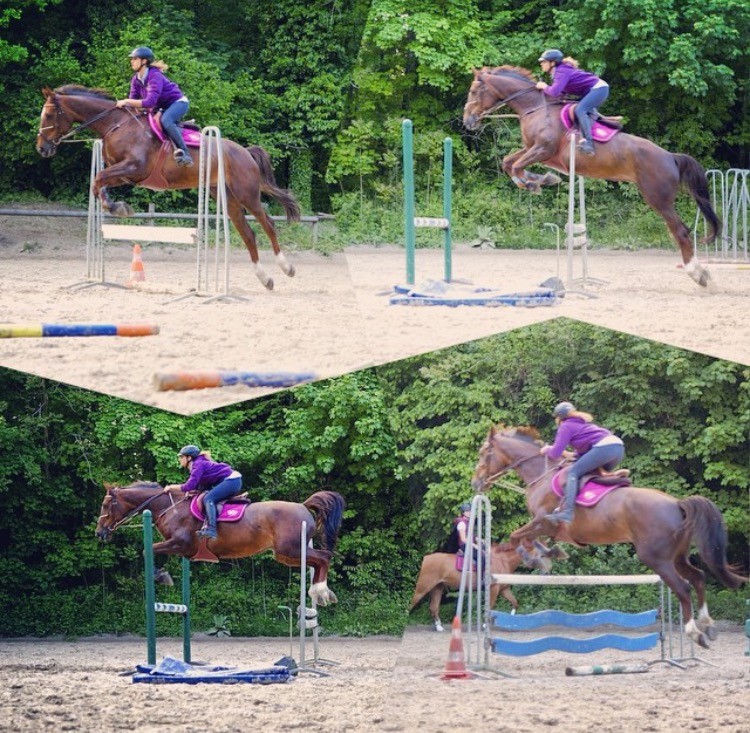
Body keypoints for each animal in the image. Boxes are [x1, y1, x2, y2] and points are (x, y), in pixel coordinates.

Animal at [37, 85, 300, 290]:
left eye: (48, 115)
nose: (41, 148)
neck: (116, 124)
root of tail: (245, 151)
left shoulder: (134, 168)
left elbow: (99, 179)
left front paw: (117, 207)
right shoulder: (126, 174)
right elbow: (99, 183)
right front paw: (117, 206)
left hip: (247, 194)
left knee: (268, 223)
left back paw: (286, 267)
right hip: (227, 198)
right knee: (248, 233)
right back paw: (264, 278)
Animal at [95, 481, 345, 605]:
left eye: (106, 505)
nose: (99, 533)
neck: (169, 507)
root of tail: (303, 506)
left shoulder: (181, 544)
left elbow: (149, 550)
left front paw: (162, 576)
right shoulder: (181, 548)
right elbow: (153, 551)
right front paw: (163, 575)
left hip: (290, 550)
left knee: (324, 557)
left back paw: (321, 592)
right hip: (287, 555)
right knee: (318, 561)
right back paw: (321, 592)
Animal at [408, 541, 568, 631]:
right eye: (541, 556)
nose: (547, 572)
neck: (502, 560)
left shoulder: (504, 589)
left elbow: (515, 602)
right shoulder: (493, 589)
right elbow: (490, 606)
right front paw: (486, 625)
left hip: (437, 588)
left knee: (433, 607)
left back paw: (439, 627)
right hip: (422, 588)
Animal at [463, 66, 721, 288]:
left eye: (474, 91)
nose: (467, 122)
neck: (535, 108)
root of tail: (670, 157)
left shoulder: (543, 149)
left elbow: (516, 166)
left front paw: (533, 183)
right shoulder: (534, 150)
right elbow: (509, 163)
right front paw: (542, 180)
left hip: (658, 199)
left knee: (681, 231)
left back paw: (697, 274)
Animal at [470, 425, 747, 649]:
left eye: (484, 453)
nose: (476, 483)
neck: (542, 474)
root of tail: (677, 504)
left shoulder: (543, 522)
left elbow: (517, 537)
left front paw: (538, 558)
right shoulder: (547, 528)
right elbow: (530, 540)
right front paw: (548, 554)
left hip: (657, 559)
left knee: (683, 587)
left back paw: (694, 632)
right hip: (676, 556)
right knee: (698, 577)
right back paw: (708, 625)